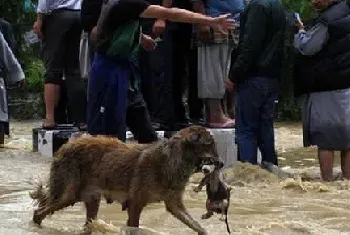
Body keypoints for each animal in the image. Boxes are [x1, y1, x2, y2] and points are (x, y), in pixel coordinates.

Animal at [30, 126, 221, 234]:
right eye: (209, 144)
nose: (221, 163)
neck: (174, 160)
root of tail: (65, 146)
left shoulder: (175, 205)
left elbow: (199, 227)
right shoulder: (135, 204)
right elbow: (134, 227)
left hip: (91, 200)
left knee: (88, 224)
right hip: (68, 196)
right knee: (38, 213)